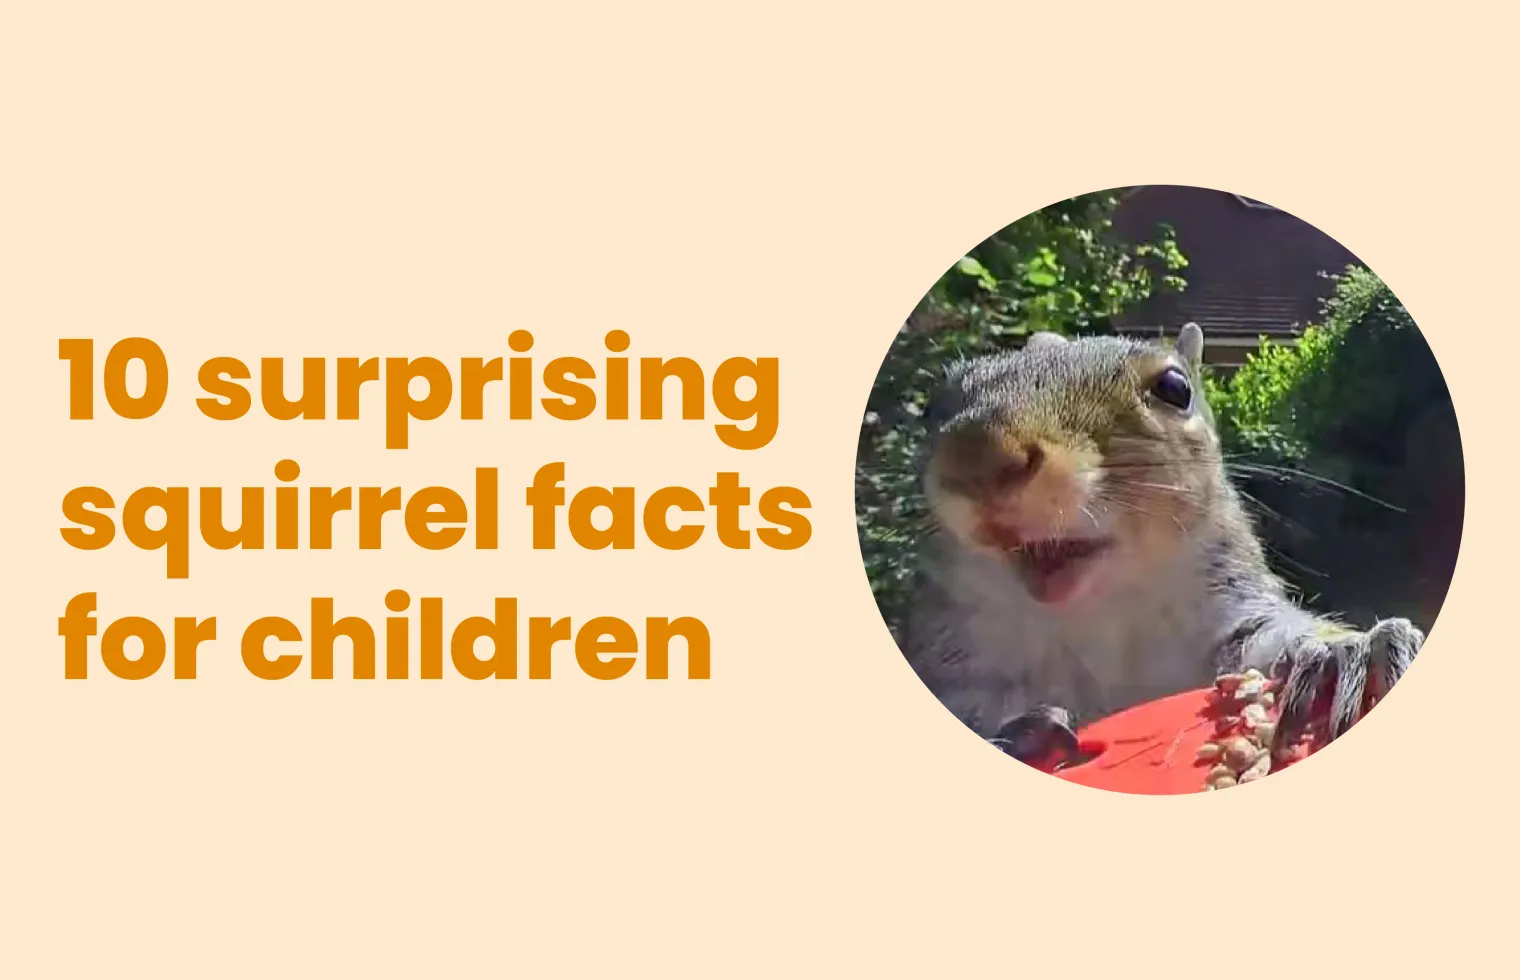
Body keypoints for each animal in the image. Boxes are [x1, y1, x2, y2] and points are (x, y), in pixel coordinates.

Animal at [901, 323, 1424, 770]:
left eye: (1176, 389)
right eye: (935, 404)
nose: (977, 458)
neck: (1100, 611)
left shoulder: (1229, 606)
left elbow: (1264, 636)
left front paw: (1347, 653)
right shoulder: (961, 665)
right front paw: (1015, 735)